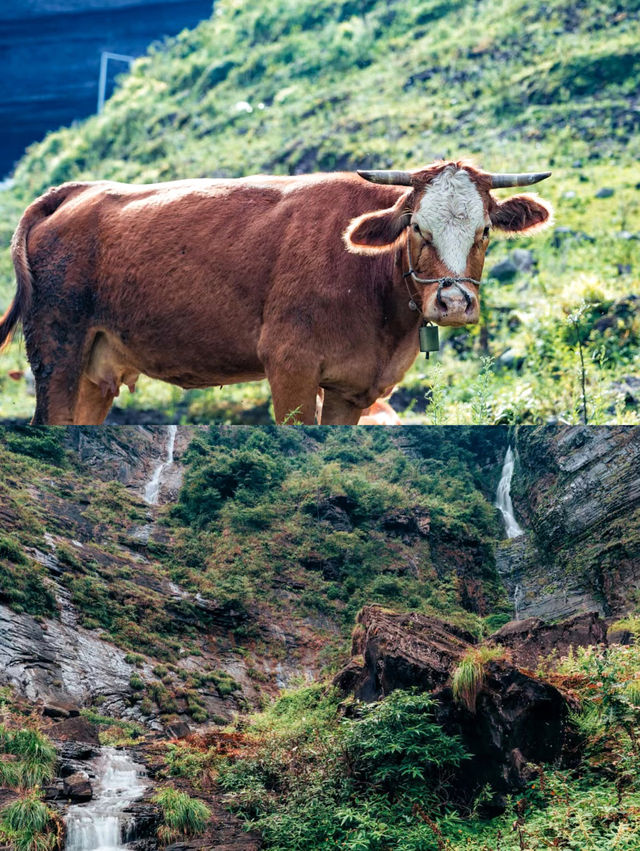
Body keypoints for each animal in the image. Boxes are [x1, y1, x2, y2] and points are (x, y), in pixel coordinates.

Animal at [0, 159, 552, 422]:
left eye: (485, 230)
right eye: (418, 227)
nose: (454, 302)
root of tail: (78, 191)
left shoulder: (353, 388)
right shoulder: (290, 366)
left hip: (96, 370)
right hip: (57, 350)